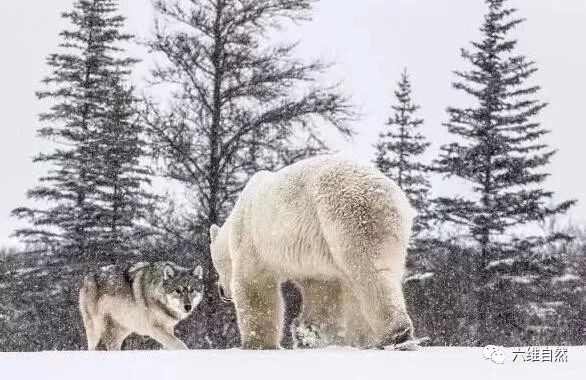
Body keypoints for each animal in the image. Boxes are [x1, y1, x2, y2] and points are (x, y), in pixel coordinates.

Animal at [208, 154, 412, 348]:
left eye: (216, 265)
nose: (221, 292)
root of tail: (383, 193)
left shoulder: (251, 241)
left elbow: (254, 285)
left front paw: (257, 343)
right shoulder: (315, 257)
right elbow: (322, 290)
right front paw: (308, 335)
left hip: (344, 216)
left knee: (368, 272)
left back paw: (396, 334)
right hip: (385, 230)